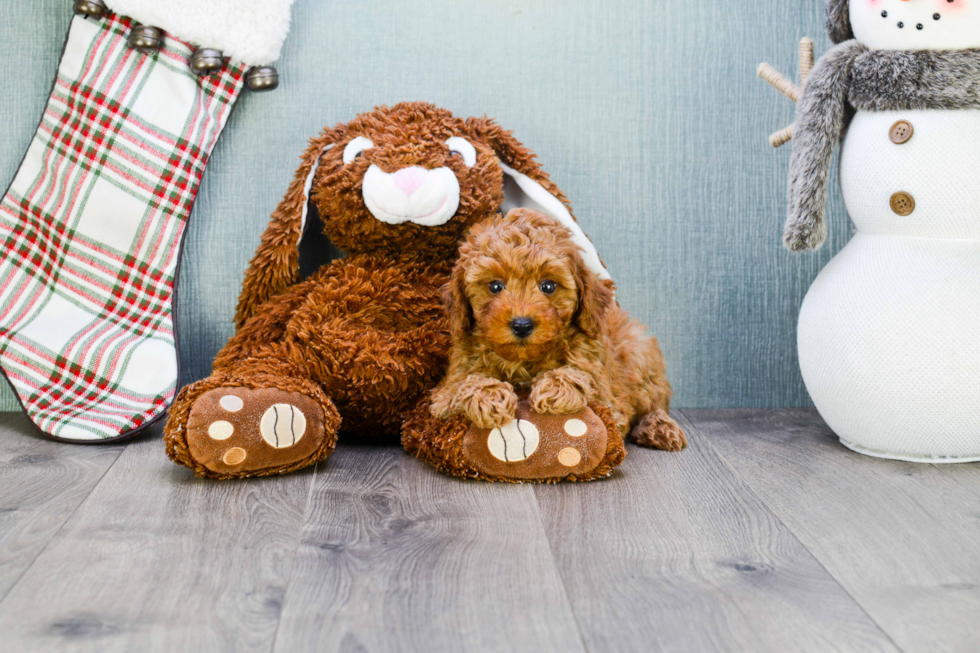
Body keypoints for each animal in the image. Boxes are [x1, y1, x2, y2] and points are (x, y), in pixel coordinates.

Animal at [166, 103, 588, 478]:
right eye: (357, 151)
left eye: (458, 151)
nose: (409, 178)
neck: (402, 260)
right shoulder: (311, 290)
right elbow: (260, 328)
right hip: (289, 358)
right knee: (266, 367)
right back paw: (240, 414)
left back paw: (544, 434)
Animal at [428, 206, 688, 450]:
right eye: (494, 286)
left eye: (548, 286)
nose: (522, 325)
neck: (523, 362)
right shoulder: (445, 391)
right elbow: (462, 386)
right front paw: (489, 396)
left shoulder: (608, 396)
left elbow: (583, 378)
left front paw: (554, 388)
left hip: (639, 353)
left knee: (654, 402)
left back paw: (659, 427)